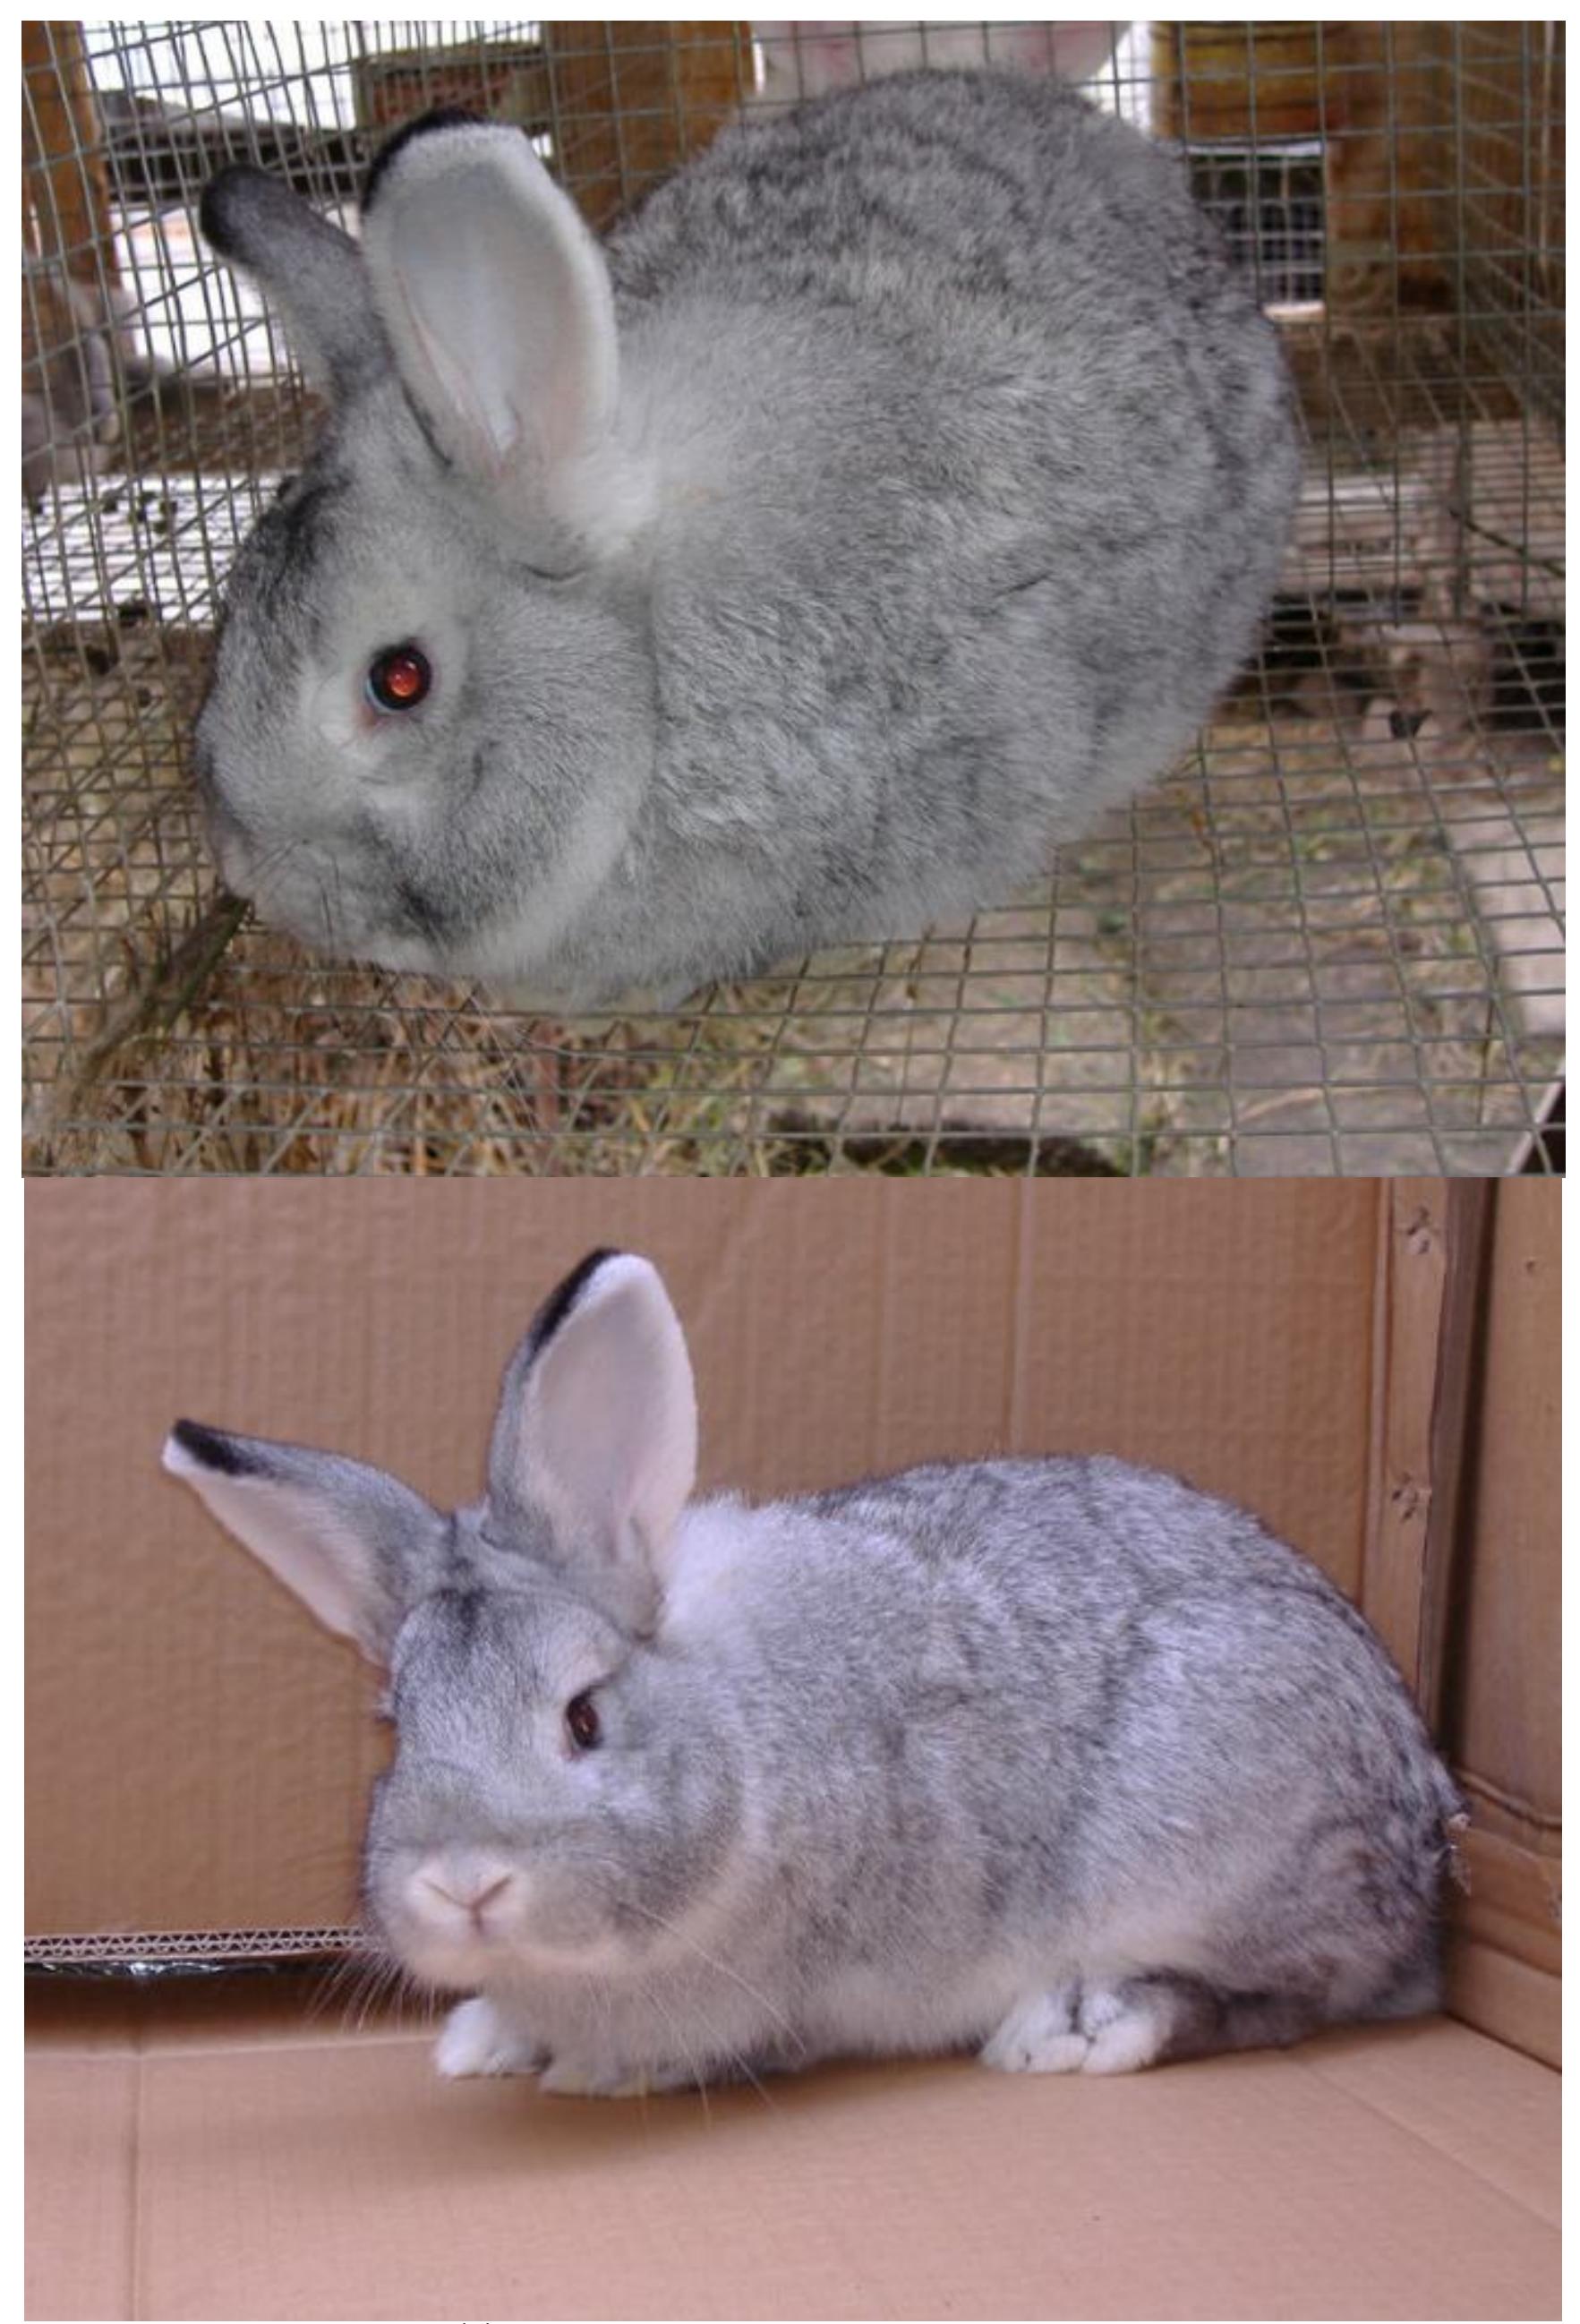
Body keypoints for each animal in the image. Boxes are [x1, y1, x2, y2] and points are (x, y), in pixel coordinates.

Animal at [163, 1246, 1465, 2098]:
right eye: (397, 1726)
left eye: (583, 1717)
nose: (464, 1884)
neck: (732, 1739)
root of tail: (1428, 1845)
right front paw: (482, 2043)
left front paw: (586, 2072)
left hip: (1218, 1862)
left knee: (1284, 2002)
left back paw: (1075, 2029)